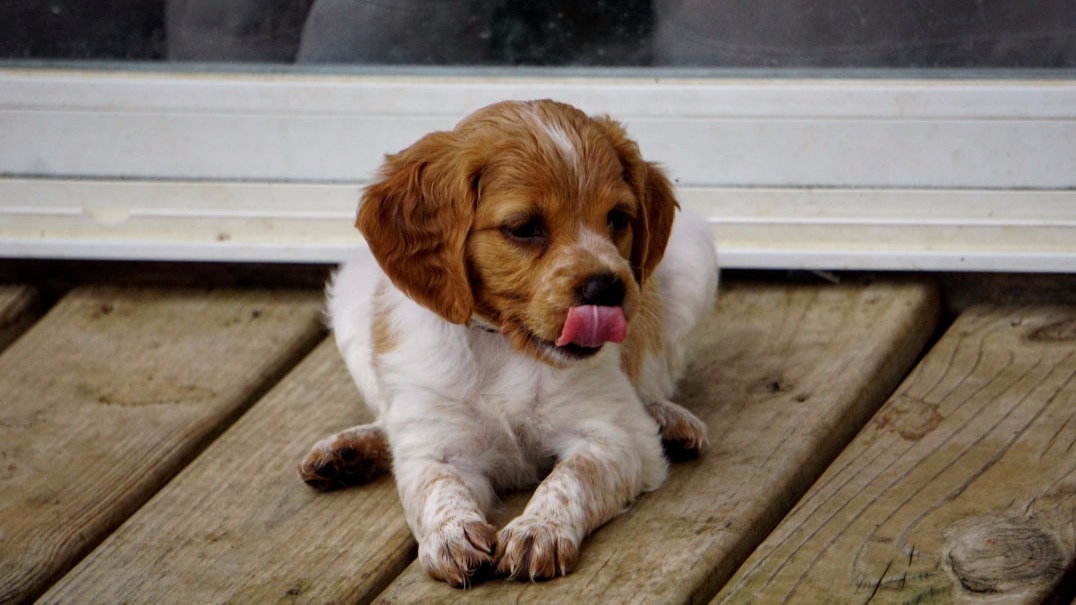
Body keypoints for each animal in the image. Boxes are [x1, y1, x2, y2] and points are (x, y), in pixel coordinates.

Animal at [303, 99, 718, 585]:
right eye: (523, 228)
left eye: (618, 218)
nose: (607, 289)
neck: (505, 346)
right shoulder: (438, 449)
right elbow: (437, 488)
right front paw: (451, 535)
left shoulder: (612, 438)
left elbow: (569, 479)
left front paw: (538, 531)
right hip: (351, 298)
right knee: (388, 420)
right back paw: (349, 450)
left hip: (692, 261)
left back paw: (669, 420)